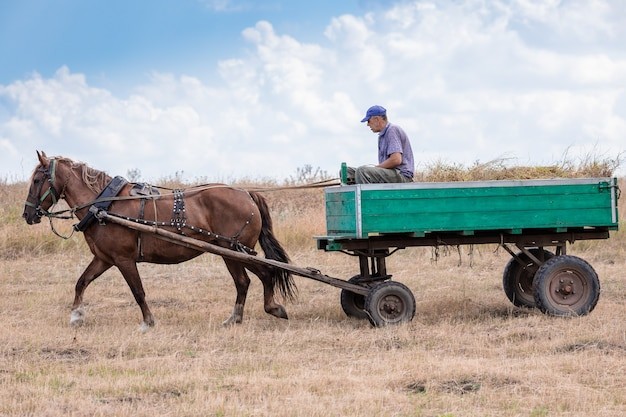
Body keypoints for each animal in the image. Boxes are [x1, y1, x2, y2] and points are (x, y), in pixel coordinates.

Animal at [23, 151, 296, 330]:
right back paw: (239, 317)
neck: (104, 206)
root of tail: (246, 193)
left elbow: (138, 291)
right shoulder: (104, 258)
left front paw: (147, 322)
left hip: (234, 250)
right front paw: (76, 316)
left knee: (259, 275)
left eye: (37, 180)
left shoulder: (124, 259)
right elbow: (81, 282)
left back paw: (269, 309)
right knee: (249, 279)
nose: (27, 215)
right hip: (232, 251)